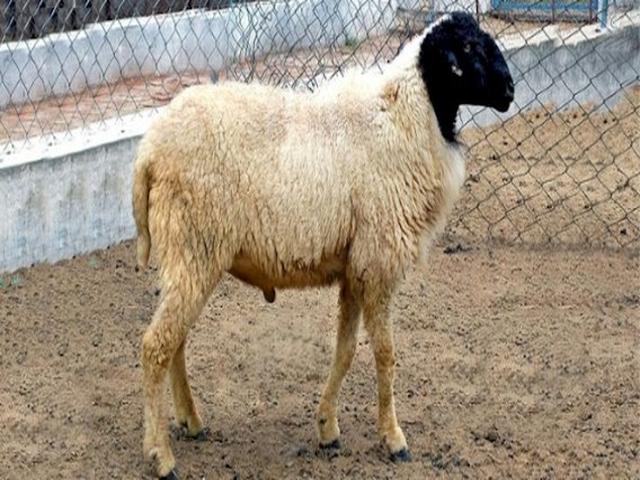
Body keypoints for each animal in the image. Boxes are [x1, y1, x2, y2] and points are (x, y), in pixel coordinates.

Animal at [132, 11, 514, 479]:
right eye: (469, 48)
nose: (510, 91)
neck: (406, 116)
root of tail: (148, 151)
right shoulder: (378, 262)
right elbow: (385, 354)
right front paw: (393, 439)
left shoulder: (355, 267)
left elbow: (345, 351)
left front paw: (327, 428)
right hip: (193, 249)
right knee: (156, 346)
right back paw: (161, 454)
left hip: (190, 256)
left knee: (176, 341)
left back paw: (191, 421)